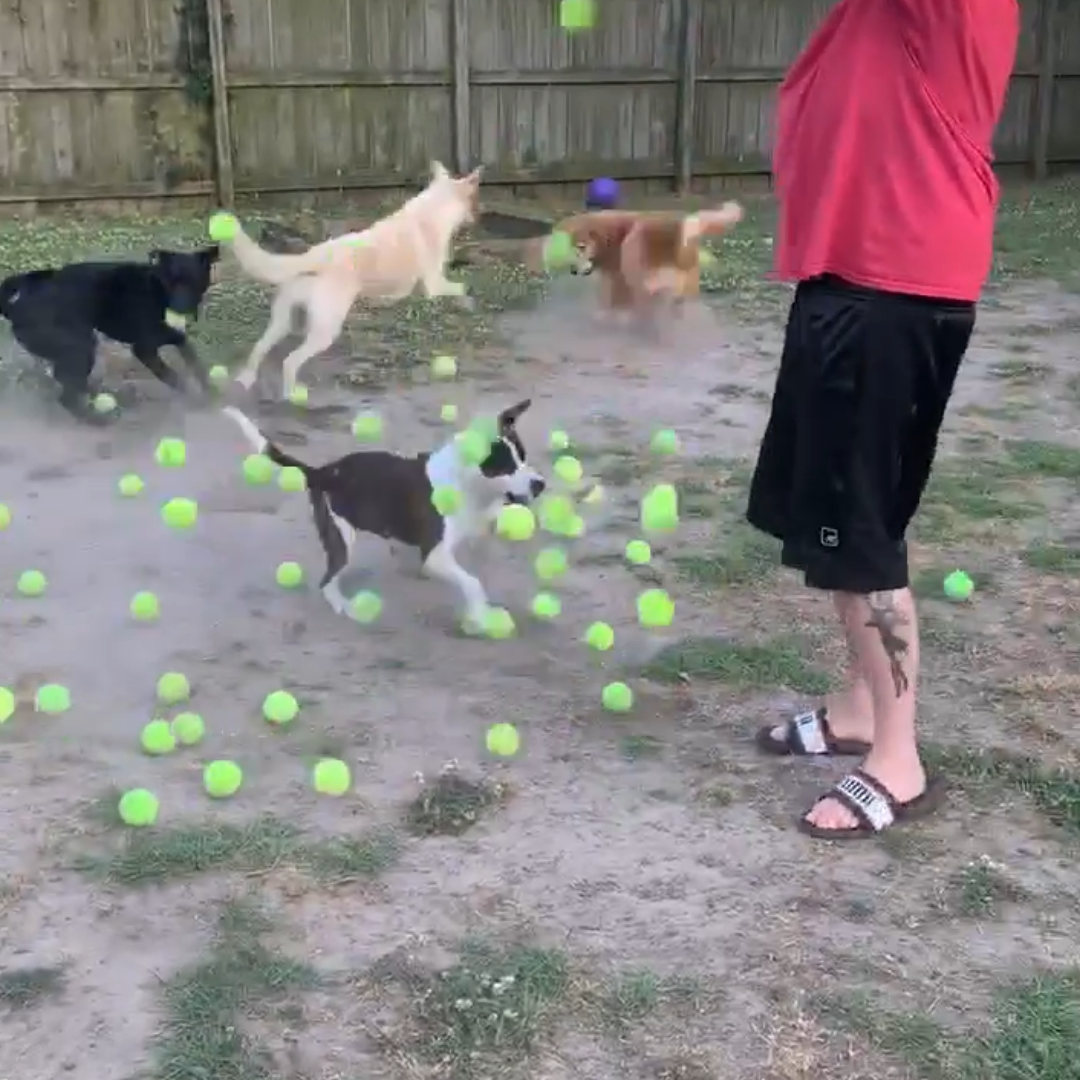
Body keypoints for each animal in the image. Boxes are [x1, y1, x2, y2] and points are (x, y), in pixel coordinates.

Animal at [0, 247, 219, 423]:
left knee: (67, 380)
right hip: (80, 346)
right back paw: (96, 420)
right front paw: (194, 401)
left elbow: (196, 365)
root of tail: (16, 305)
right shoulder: (145, 349)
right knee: (66, 396)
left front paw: (211, 392)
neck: (156, 289)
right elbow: (174, 378)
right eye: (171, 282)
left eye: (193, 281)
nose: (181, 308)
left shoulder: (176, 338)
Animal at [221, 166, 479, 403]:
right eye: (472, 200)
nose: (476, 218)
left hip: (283, 322)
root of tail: (316, 255)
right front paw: (468, 301)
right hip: (325, 331)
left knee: (259, 348)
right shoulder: (434, 285)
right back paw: (291, 396)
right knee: (290, 361)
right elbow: (461, 288)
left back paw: (245, 381)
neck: (430, 212)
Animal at [225, 401, 548, 630]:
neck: (466, 484)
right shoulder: (435, 555)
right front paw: (480, 615)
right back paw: (345, 606)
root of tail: (322, 471)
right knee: (327, 580)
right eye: (505, 466)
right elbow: (472, 582)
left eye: (523, 456)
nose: (540, 484)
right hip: (340, 537)